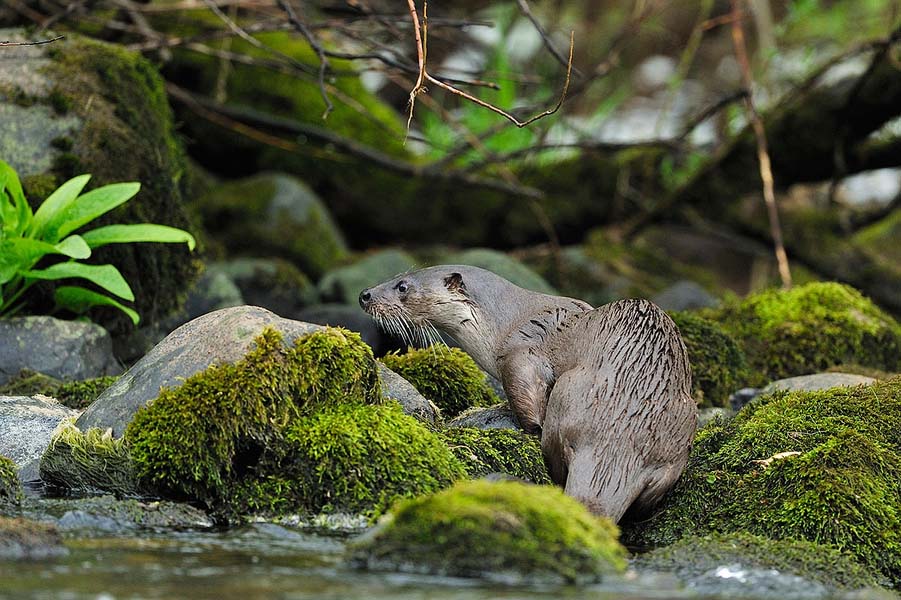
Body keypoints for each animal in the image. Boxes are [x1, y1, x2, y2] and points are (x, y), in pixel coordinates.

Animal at [360, 266, 696, 522]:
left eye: (403, 286)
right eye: (396, 276)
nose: (365, 294)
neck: (504, 321)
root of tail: (617, 442)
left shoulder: (522, 349)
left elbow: (526, 393)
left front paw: (523, 425)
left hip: (570, 393)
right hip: (677, 441)